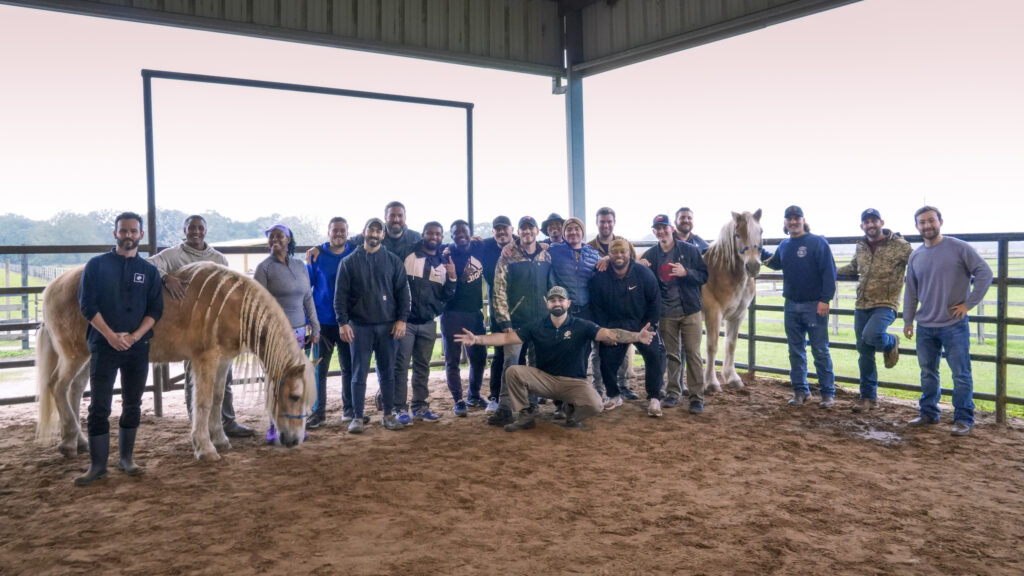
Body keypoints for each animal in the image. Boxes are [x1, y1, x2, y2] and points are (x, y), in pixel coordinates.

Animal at [36, 260, 313, 457]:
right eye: (294, 396)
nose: (295, 440)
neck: (234, 306)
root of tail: (52, 286)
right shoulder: (205, 359)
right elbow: (202, 402)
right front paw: (205, 448)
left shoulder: (224, 360)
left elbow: (217, 398)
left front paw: (220, 439)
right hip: (74, 356)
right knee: (57, 387)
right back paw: (69, 443)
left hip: (87, 358)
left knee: (72, 392)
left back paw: (77, 441)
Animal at [704, 208, 761, 391]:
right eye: (737, 234)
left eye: (761, 231)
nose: (753, 266)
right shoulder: (713, 313)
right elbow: (712, 346)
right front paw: (711, 382)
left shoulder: (738, 315)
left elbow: (731, 344)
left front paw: (732, 378)